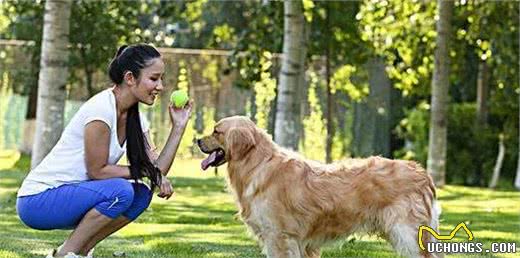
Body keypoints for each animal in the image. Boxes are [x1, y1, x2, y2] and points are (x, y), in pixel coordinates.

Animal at [197, 117, 440, 258]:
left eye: (216, 131)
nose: (197, 140)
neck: (257, 164)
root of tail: (422, 172)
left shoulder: (279, 237)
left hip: (408, 234)